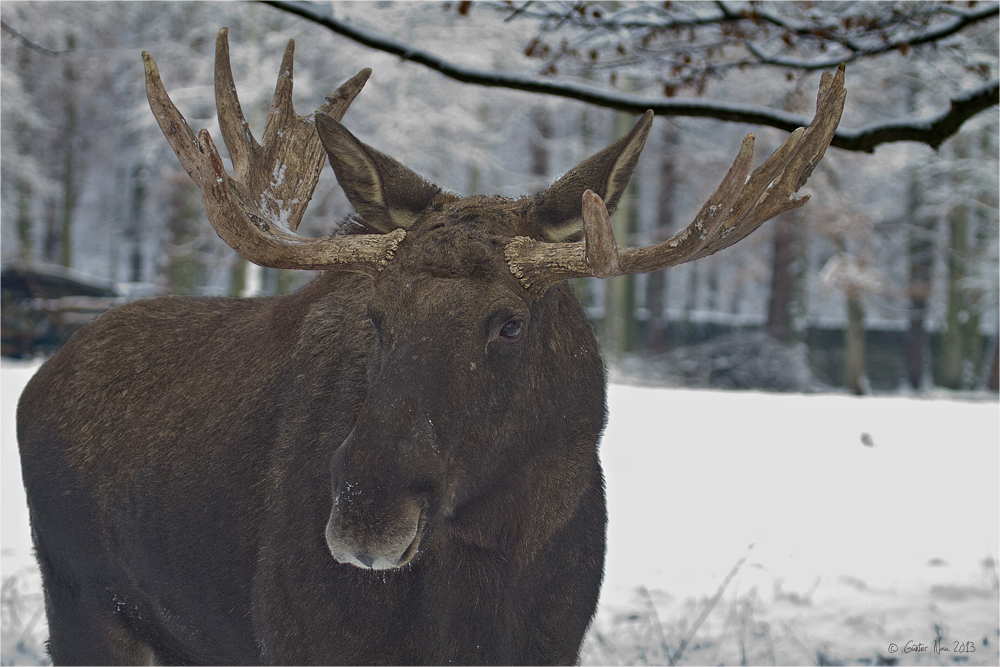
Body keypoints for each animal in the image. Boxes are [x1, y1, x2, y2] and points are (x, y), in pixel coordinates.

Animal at [15, 28, 844, 664]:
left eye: (510, 322)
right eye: (376, 315)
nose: (365, 514)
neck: (488, 578)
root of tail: (36, 380)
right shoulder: (299, 640)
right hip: (82, 602)